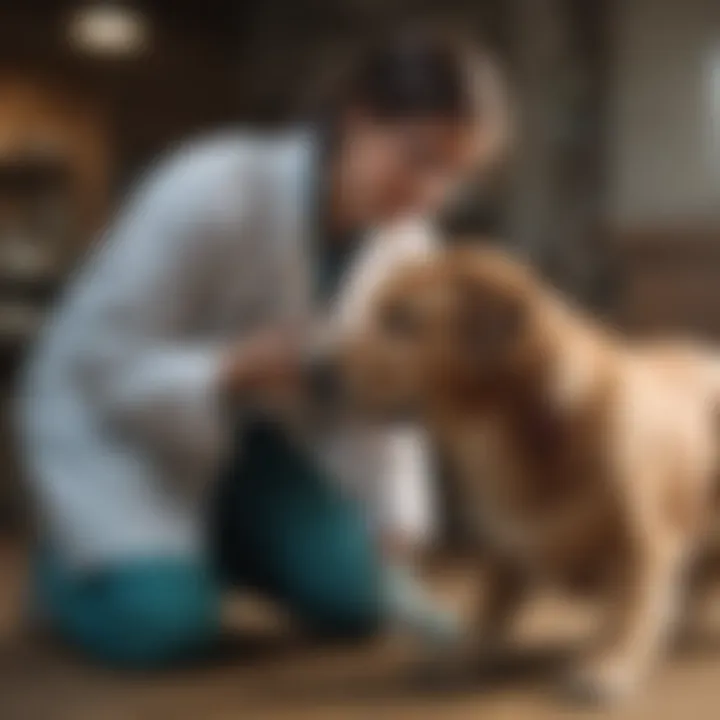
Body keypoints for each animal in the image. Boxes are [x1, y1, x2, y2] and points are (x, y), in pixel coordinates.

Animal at [334, 245, 720, 704]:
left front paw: (608, 665)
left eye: (403, 321)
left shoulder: (642, 544)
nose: (314, 373)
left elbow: (630, 611)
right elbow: (486, 614)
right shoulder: (507, 549)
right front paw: (462, 657)